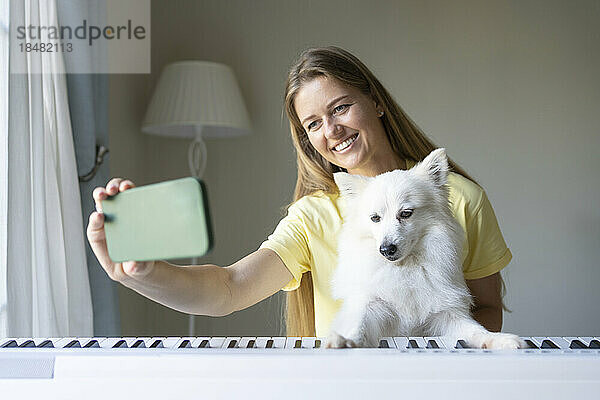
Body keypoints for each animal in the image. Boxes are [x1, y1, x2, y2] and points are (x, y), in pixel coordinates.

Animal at [326, 148, 524, 348]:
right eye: (375, 218)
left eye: (406, 214)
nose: (386, 249)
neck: (405, 268)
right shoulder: (372, 305)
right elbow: (358, 327)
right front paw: (343, 341)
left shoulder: (447, 314)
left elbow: (476, 331)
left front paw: (500, 340)